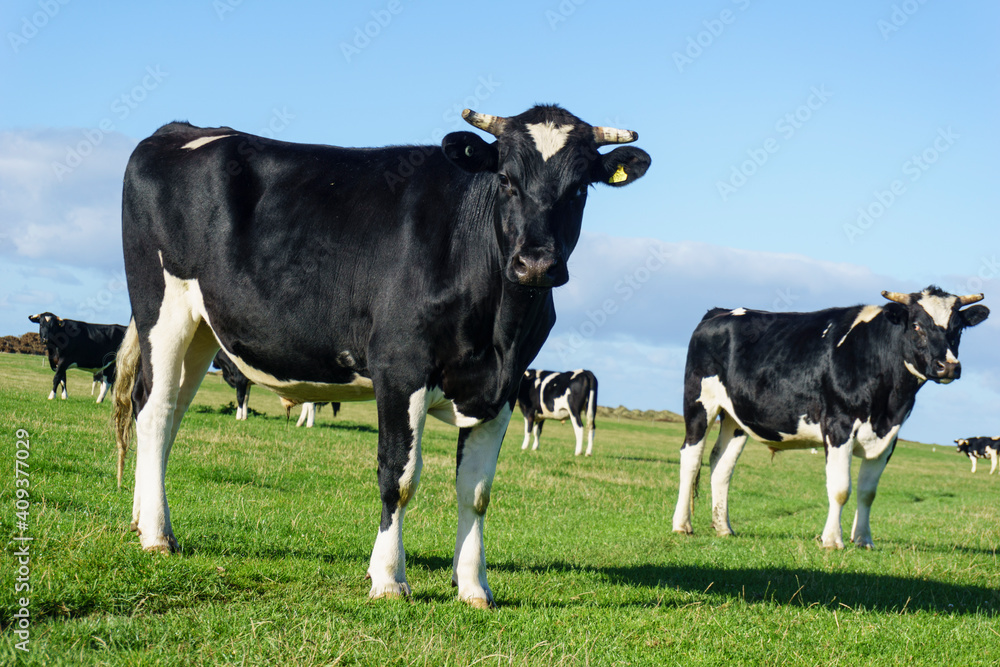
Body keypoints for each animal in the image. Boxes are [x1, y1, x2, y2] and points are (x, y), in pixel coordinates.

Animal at [113, 105, 652, 612]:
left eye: (580, 188)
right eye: (505, 179)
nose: (536, 263)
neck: (499, 331)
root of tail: (178, 130)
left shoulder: (501, 389)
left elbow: (476, 492)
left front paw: (474, 586)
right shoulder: (400, 368)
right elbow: (400, 477)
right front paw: (389, 578)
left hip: (203, 327)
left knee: (167, 413)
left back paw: (142, 518)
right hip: (163, 306)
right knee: (155, 411)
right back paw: (157, 535)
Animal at [676, 290, 988, 552]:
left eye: (958, 328)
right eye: (916, 326)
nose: (948, 366)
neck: (887, 405)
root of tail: (720, 312)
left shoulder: (889, 437)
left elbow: (867, 492)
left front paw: (863, 540)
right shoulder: (839, 426)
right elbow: (840, 489)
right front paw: (832, 540)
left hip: (736, 417)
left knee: (721, 464)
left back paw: (723, 527)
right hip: (699, 402)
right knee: (691, 457)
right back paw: (682, 525)